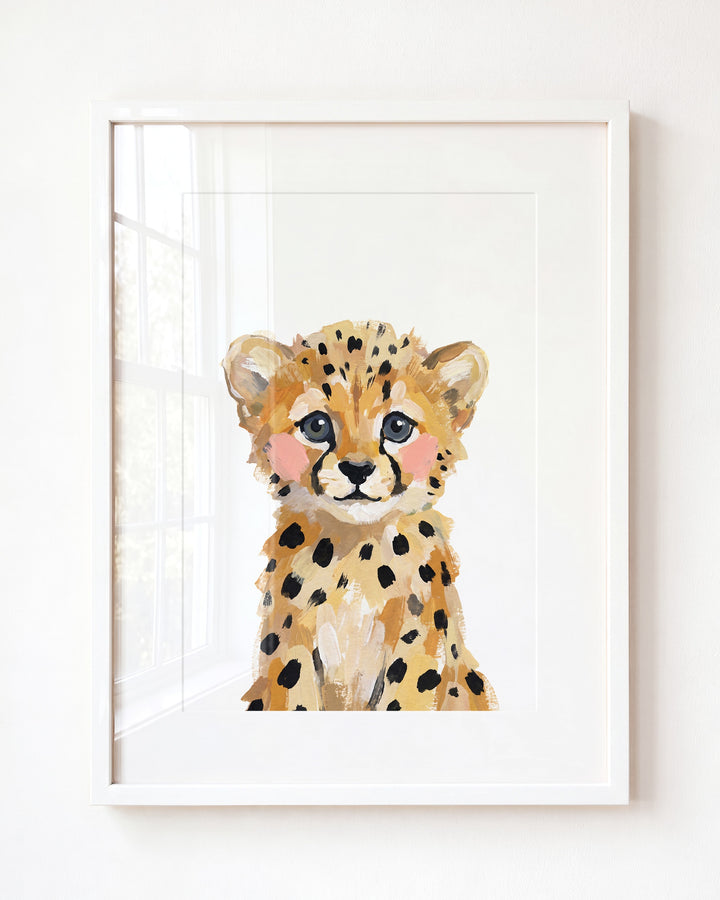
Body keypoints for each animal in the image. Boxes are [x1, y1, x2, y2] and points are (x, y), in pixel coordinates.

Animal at [222, 320, 498, 711]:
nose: (357, 469)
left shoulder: (417, 645)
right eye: (316, 426)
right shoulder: (291, 642)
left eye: (397, 426)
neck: (356, 550)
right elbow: (295, 695)